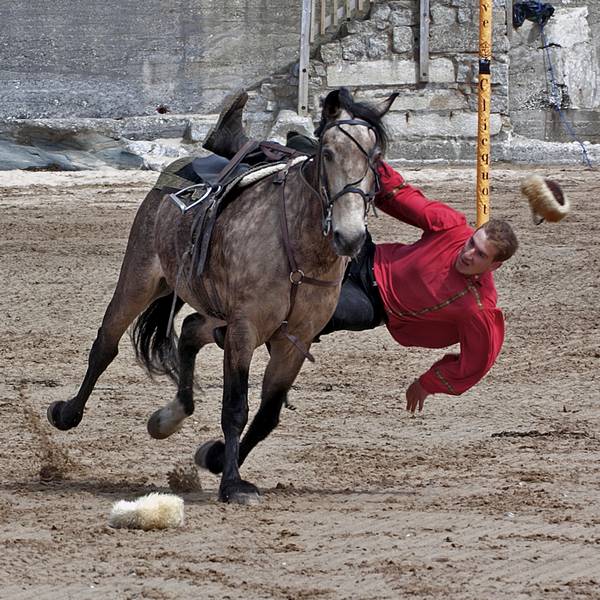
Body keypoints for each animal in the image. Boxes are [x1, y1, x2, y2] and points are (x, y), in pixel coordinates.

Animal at [47, 87, 396, 504]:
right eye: (327, 152)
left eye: (376, 158)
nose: (350, 236)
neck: (297, 243)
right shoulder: (245, 330)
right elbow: (235, 408)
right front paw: (232, 484)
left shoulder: (296, 339)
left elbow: (266, 415)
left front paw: (216, 459)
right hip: (140, 278)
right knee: (106, 344)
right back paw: (67, 414)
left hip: (211, 309)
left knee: (190, 331)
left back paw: (169, 417)